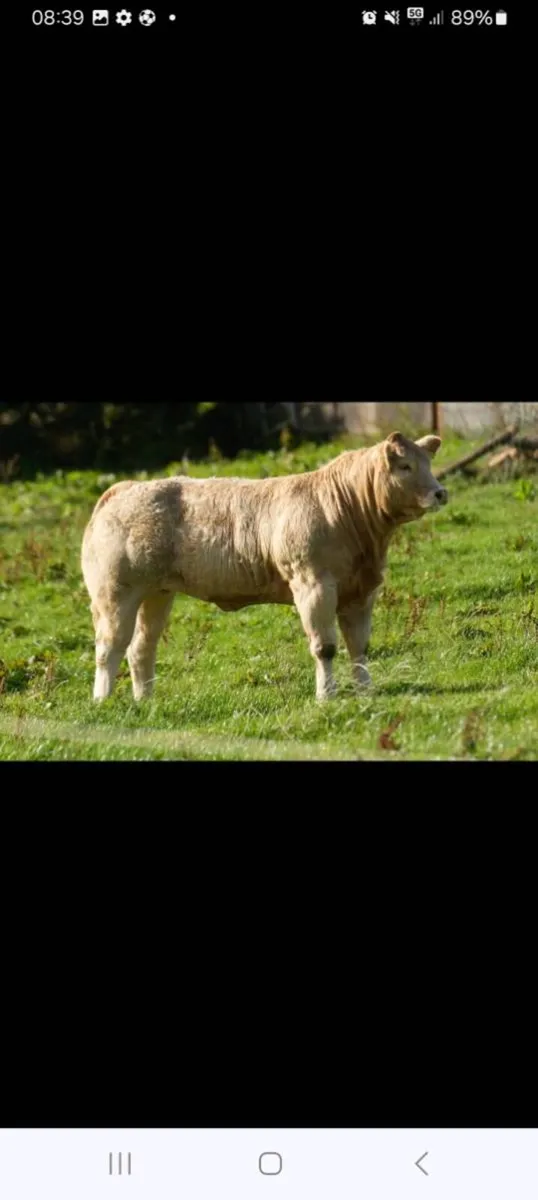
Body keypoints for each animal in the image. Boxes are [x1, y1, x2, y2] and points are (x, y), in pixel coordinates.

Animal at [81, 431, 448, 703]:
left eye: (428, 463)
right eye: (405, 466)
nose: (440, 493)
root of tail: (124, 487)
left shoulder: (362, 590)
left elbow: (359, 646)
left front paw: (366, 692)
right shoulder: (313, 583)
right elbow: (325, 646)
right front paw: (325, 696)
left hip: (157, 592)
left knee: (141, 648)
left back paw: (145, 701)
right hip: (115, 591)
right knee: (109, 645)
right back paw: (102, 702)